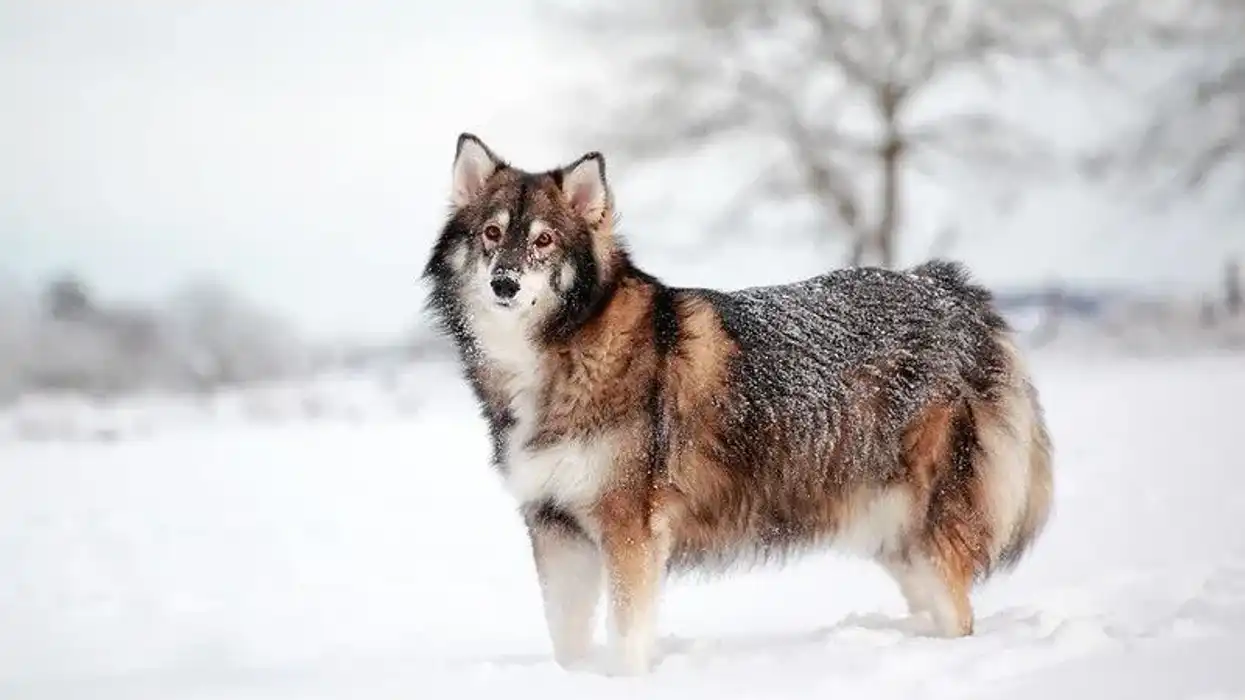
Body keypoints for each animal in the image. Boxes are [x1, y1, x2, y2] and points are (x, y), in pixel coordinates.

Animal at [421, 133, 1054, 676]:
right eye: (492, 234)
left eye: (543, 240)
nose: (504, 284)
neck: (563, 351)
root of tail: (950, 288)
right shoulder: (555, 527)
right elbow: (566, 639)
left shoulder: (629, 531)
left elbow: (626, 636)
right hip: (892, 537)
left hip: (923, 535)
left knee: (961, 617)